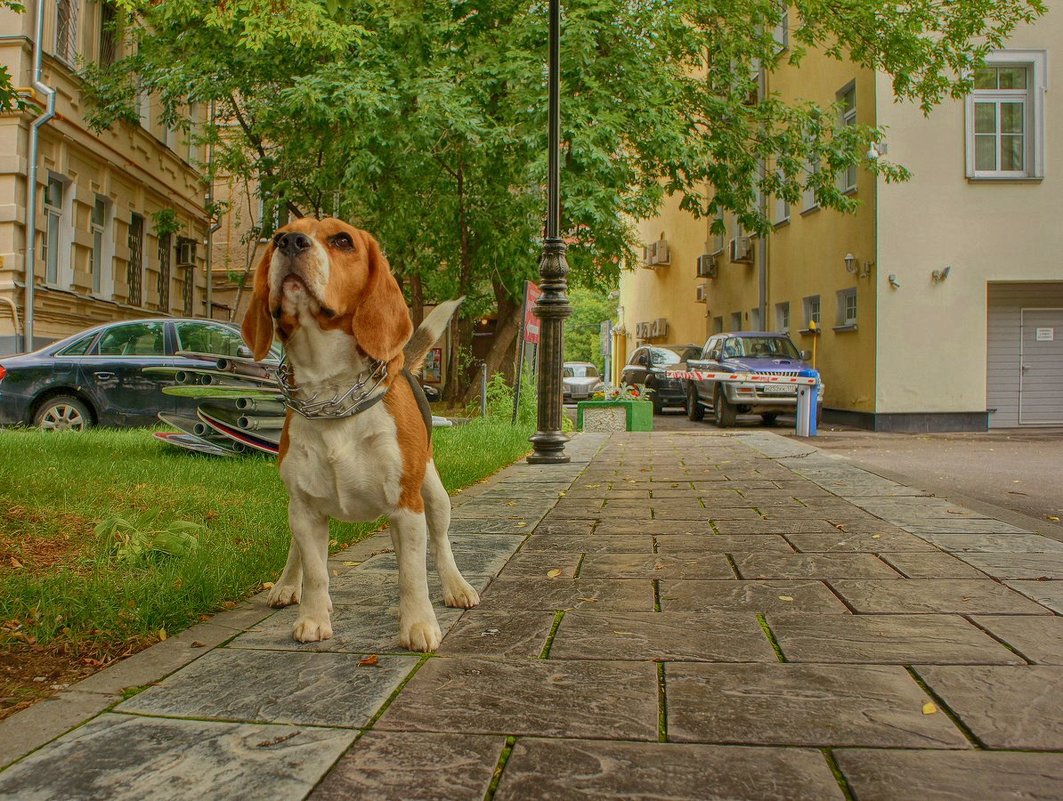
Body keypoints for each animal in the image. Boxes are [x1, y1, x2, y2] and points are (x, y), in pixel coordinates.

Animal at [243, 216, 480, 650]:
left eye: (342, 240)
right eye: (279, 234)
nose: (290, 242)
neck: (331, 391)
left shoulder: (406, 507)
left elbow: (412, 575)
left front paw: (418, 624)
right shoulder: (305, 508)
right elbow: (316, 571)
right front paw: (313, 618)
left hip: (434, 495)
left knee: (439, 544)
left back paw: (456, 587)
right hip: (297, 506)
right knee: (300, 553)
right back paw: (287, 585)